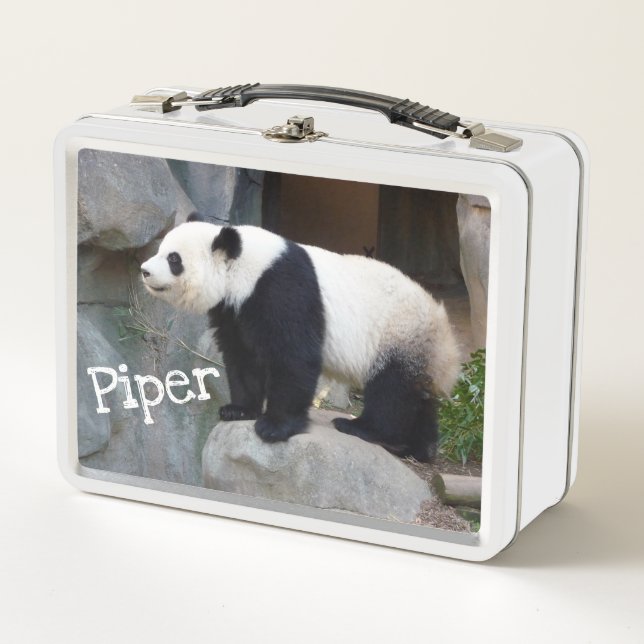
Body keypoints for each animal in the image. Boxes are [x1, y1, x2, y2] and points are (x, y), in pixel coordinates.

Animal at [140, 215, 460, 462]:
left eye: (173, 259)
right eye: (162, 250)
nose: (144, 270)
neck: (245, 266)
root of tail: (446, 335)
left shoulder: (282, 287)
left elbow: (293, 357)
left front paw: (274, 427)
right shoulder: (236, 310)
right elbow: (242, 357)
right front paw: (238, 409)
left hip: (398, 334)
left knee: (391, 392)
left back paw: (364, 429)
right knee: (418, 398)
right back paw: (419, 448)